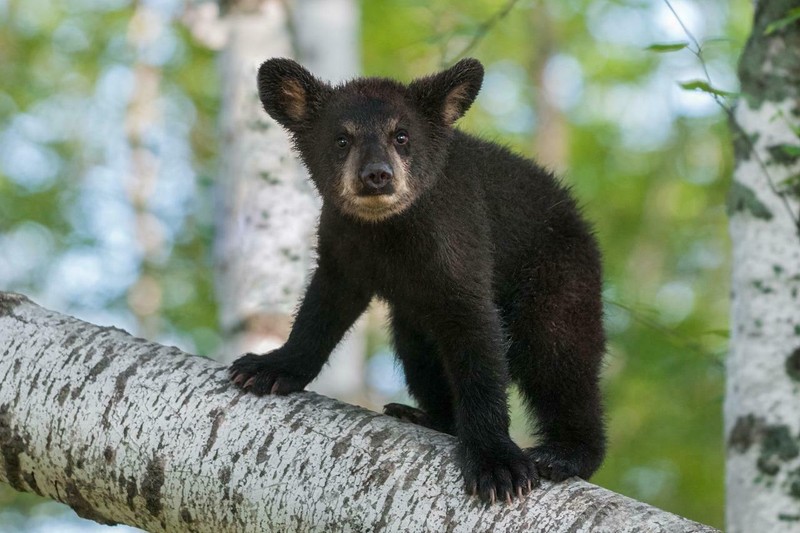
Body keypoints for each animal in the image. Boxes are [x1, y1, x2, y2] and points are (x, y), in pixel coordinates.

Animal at [230, 57, 606, 504]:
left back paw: (564, 453)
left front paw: (496, 463)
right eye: (342, 139)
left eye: (401, 135)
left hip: (559, 275)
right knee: (420, 352)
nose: (376, 175)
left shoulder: (459, 243)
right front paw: (268, 367)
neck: (388, 233)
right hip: (414, 322)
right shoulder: (344, 247)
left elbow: (478, 341)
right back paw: (423, 415)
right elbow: (322, 309)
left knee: (559, 353)